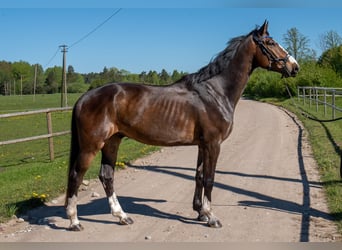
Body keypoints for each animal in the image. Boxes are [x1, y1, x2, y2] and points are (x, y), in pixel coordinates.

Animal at [65, 21, 298, 230]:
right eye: (270, 42)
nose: (294, 67)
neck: (216, 92)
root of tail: (85, 97)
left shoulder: (203, 144)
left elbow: (199, 176)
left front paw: (200, 212)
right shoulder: (213, 144)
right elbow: (210, 179)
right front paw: (211, 217)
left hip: (112, 142)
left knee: (107, 176)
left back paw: (122, 216)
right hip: (91, 146)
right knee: (76, 175)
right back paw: (74, 221)